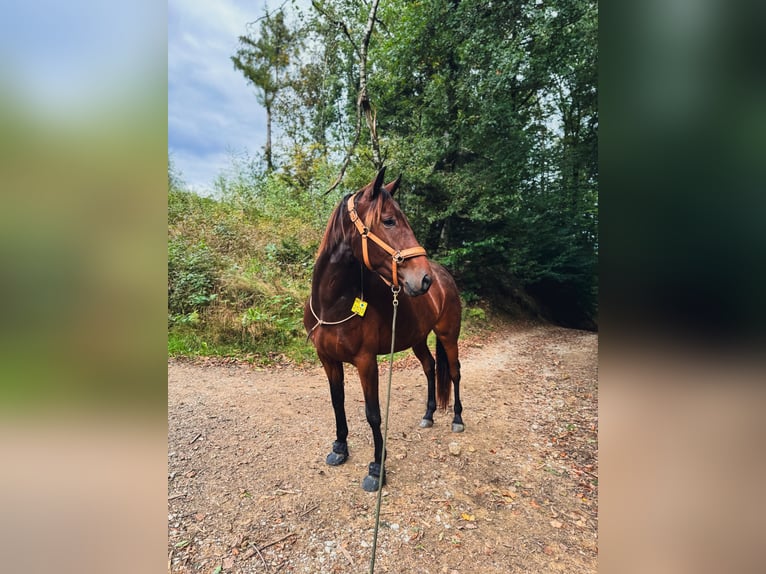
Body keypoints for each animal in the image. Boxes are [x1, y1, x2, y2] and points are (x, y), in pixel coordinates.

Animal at [304, 168, 462, 496]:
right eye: (389, 220)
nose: (423, 279)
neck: (331, 305)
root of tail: (444, 277)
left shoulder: (366, 362)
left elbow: (373, 414)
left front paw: (377, 468)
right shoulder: (328, 360)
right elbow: (337, 402)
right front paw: (340, 448)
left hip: (448, 335)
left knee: (454, 372)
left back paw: (457, 419)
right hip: (418, 339)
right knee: (430, 367)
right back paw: (428, 415)